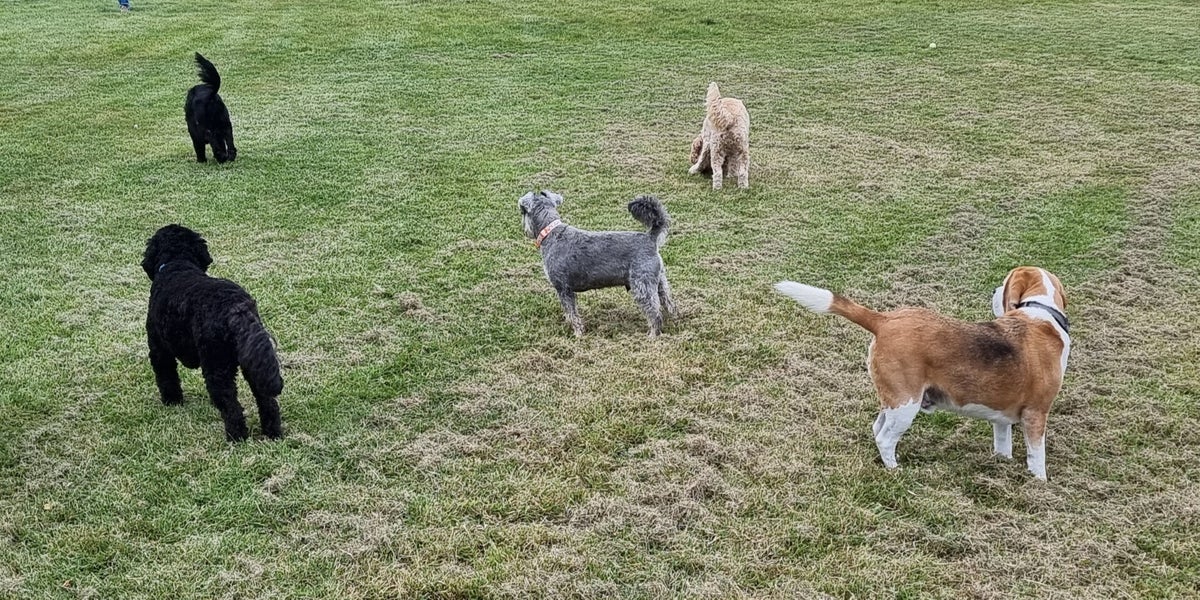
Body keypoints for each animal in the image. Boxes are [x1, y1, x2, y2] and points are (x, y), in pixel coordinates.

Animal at [142, 225, 282, 441]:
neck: (177, 264)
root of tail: (237, 308)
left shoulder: (159, 350)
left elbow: (167, 377)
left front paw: (172, 401)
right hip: (253, 362)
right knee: (268, 401)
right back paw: (273, 433)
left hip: (217, 366)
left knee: (231, 406)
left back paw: (237, 437)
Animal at [520, 190, 676, 337]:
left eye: (522, 211)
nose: (525, 231)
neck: (551, 233)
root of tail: (650, 238)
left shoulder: (563, 289)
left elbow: (572, 314)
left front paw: (578, 334)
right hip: (659, 282)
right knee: (668, 303)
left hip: (642, 285)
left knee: (654, 312)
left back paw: (653, 334)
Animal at [774, 266, 1070, 480]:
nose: (994, 289)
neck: (1043, 312)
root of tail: (885, 320)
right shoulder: (1036, 414)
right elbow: (1037, 458)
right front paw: (1039, 484)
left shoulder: (1001, 417)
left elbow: (1002, 445)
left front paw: (1001, 466)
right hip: (907, 403)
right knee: (884, 439)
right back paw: (896, 472)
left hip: (895, 401)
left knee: (877, 428)